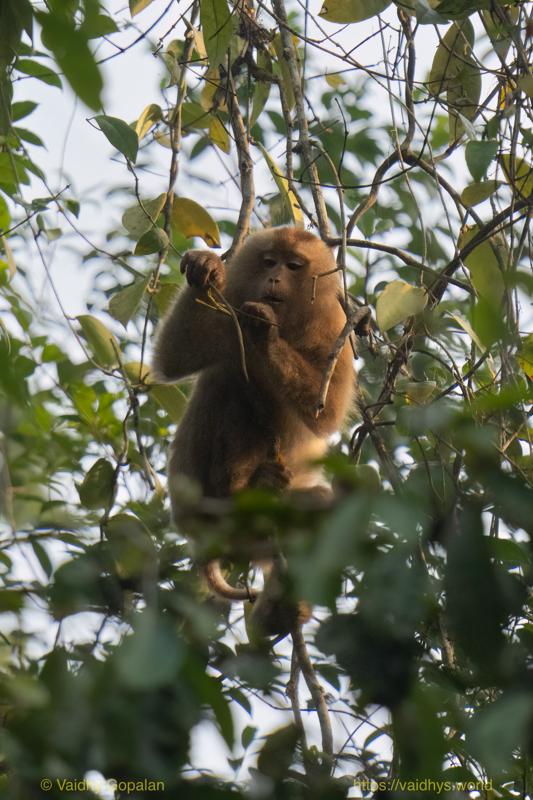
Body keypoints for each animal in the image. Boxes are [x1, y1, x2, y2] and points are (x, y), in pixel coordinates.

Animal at [152, 226, 357, 636]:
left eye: (293, 266)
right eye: (268, 261)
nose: (274, 278)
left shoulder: (335, 329)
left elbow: (324, 413)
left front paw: (267, 333)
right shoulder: (233, 306)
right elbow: (174, 358)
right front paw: (206, 268)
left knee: (314, 501)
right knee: (225, 383)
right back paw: (236, 490)